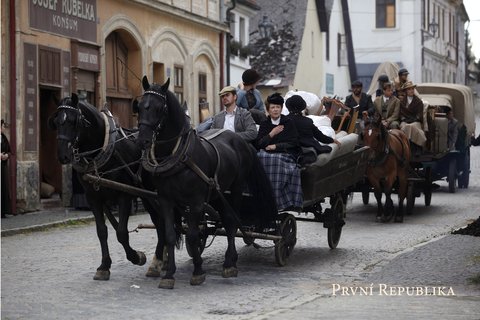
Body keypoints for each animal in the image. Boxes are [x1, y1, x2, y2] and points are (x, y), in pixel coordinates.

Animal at [48, 94, 166, 280]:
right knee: (162, 221)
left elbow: (122, 232)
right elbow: (102, 231)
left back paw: (159, 260)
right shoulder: (93, 197)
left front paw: (136, 257)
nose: (63, 155)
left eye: (74, 121)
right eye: (57, 121)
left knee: (162, 221)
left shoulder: (124, 195)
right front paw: (104, 266)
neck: (103, 150)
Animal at [134, 76, 278, 288]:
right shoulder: (166, 200)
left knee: (231, 221)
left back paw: (229, 263)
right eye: (140, 106)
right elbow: (170, 234)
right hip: (218, 193)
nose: (142, 140)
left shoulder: (195, 201)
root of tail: (240, 141)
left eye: (159, 108)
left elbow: (193, 235)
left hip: (235, 188)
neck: (177, 155)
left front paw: (198, 271)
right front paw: (169, 274)